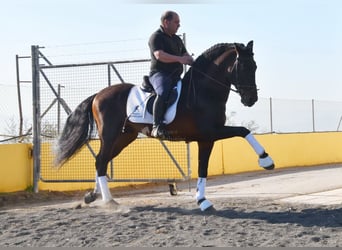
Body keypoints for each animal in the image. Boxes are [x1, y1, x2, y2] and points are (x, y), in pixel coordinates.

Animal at [54, 40, 276, 211]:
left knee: (102, 160)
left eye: (255, 67)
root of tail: (98, 95)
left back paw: (92, 196)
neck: (204, 91)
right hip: (109, 135)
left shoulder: (207, 139)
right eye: (245, 67)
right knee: (101, 161)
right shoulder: (211, 132)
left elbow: (203, 169)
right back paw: (109, 202)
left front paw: (202, 201)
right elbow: (243, 130)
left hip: (124, 137)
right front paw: (266, 160)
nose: (251, 99)